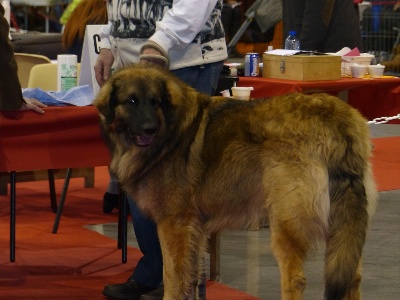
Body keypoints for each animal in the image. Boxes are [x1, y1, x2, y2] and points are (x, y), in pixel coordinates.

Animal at [94, 65, 378, 300]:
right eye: (132, 101)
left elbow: (173, 278)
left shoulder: (174, 224)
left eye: (155, 102)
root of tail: (337, 119)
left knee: (296, 280)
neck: (171, 132)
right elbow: (192, 278)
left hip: (287, 221)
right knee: (352, 277)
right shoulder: (194, 229)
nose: (149, 129)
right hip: (343, 223)